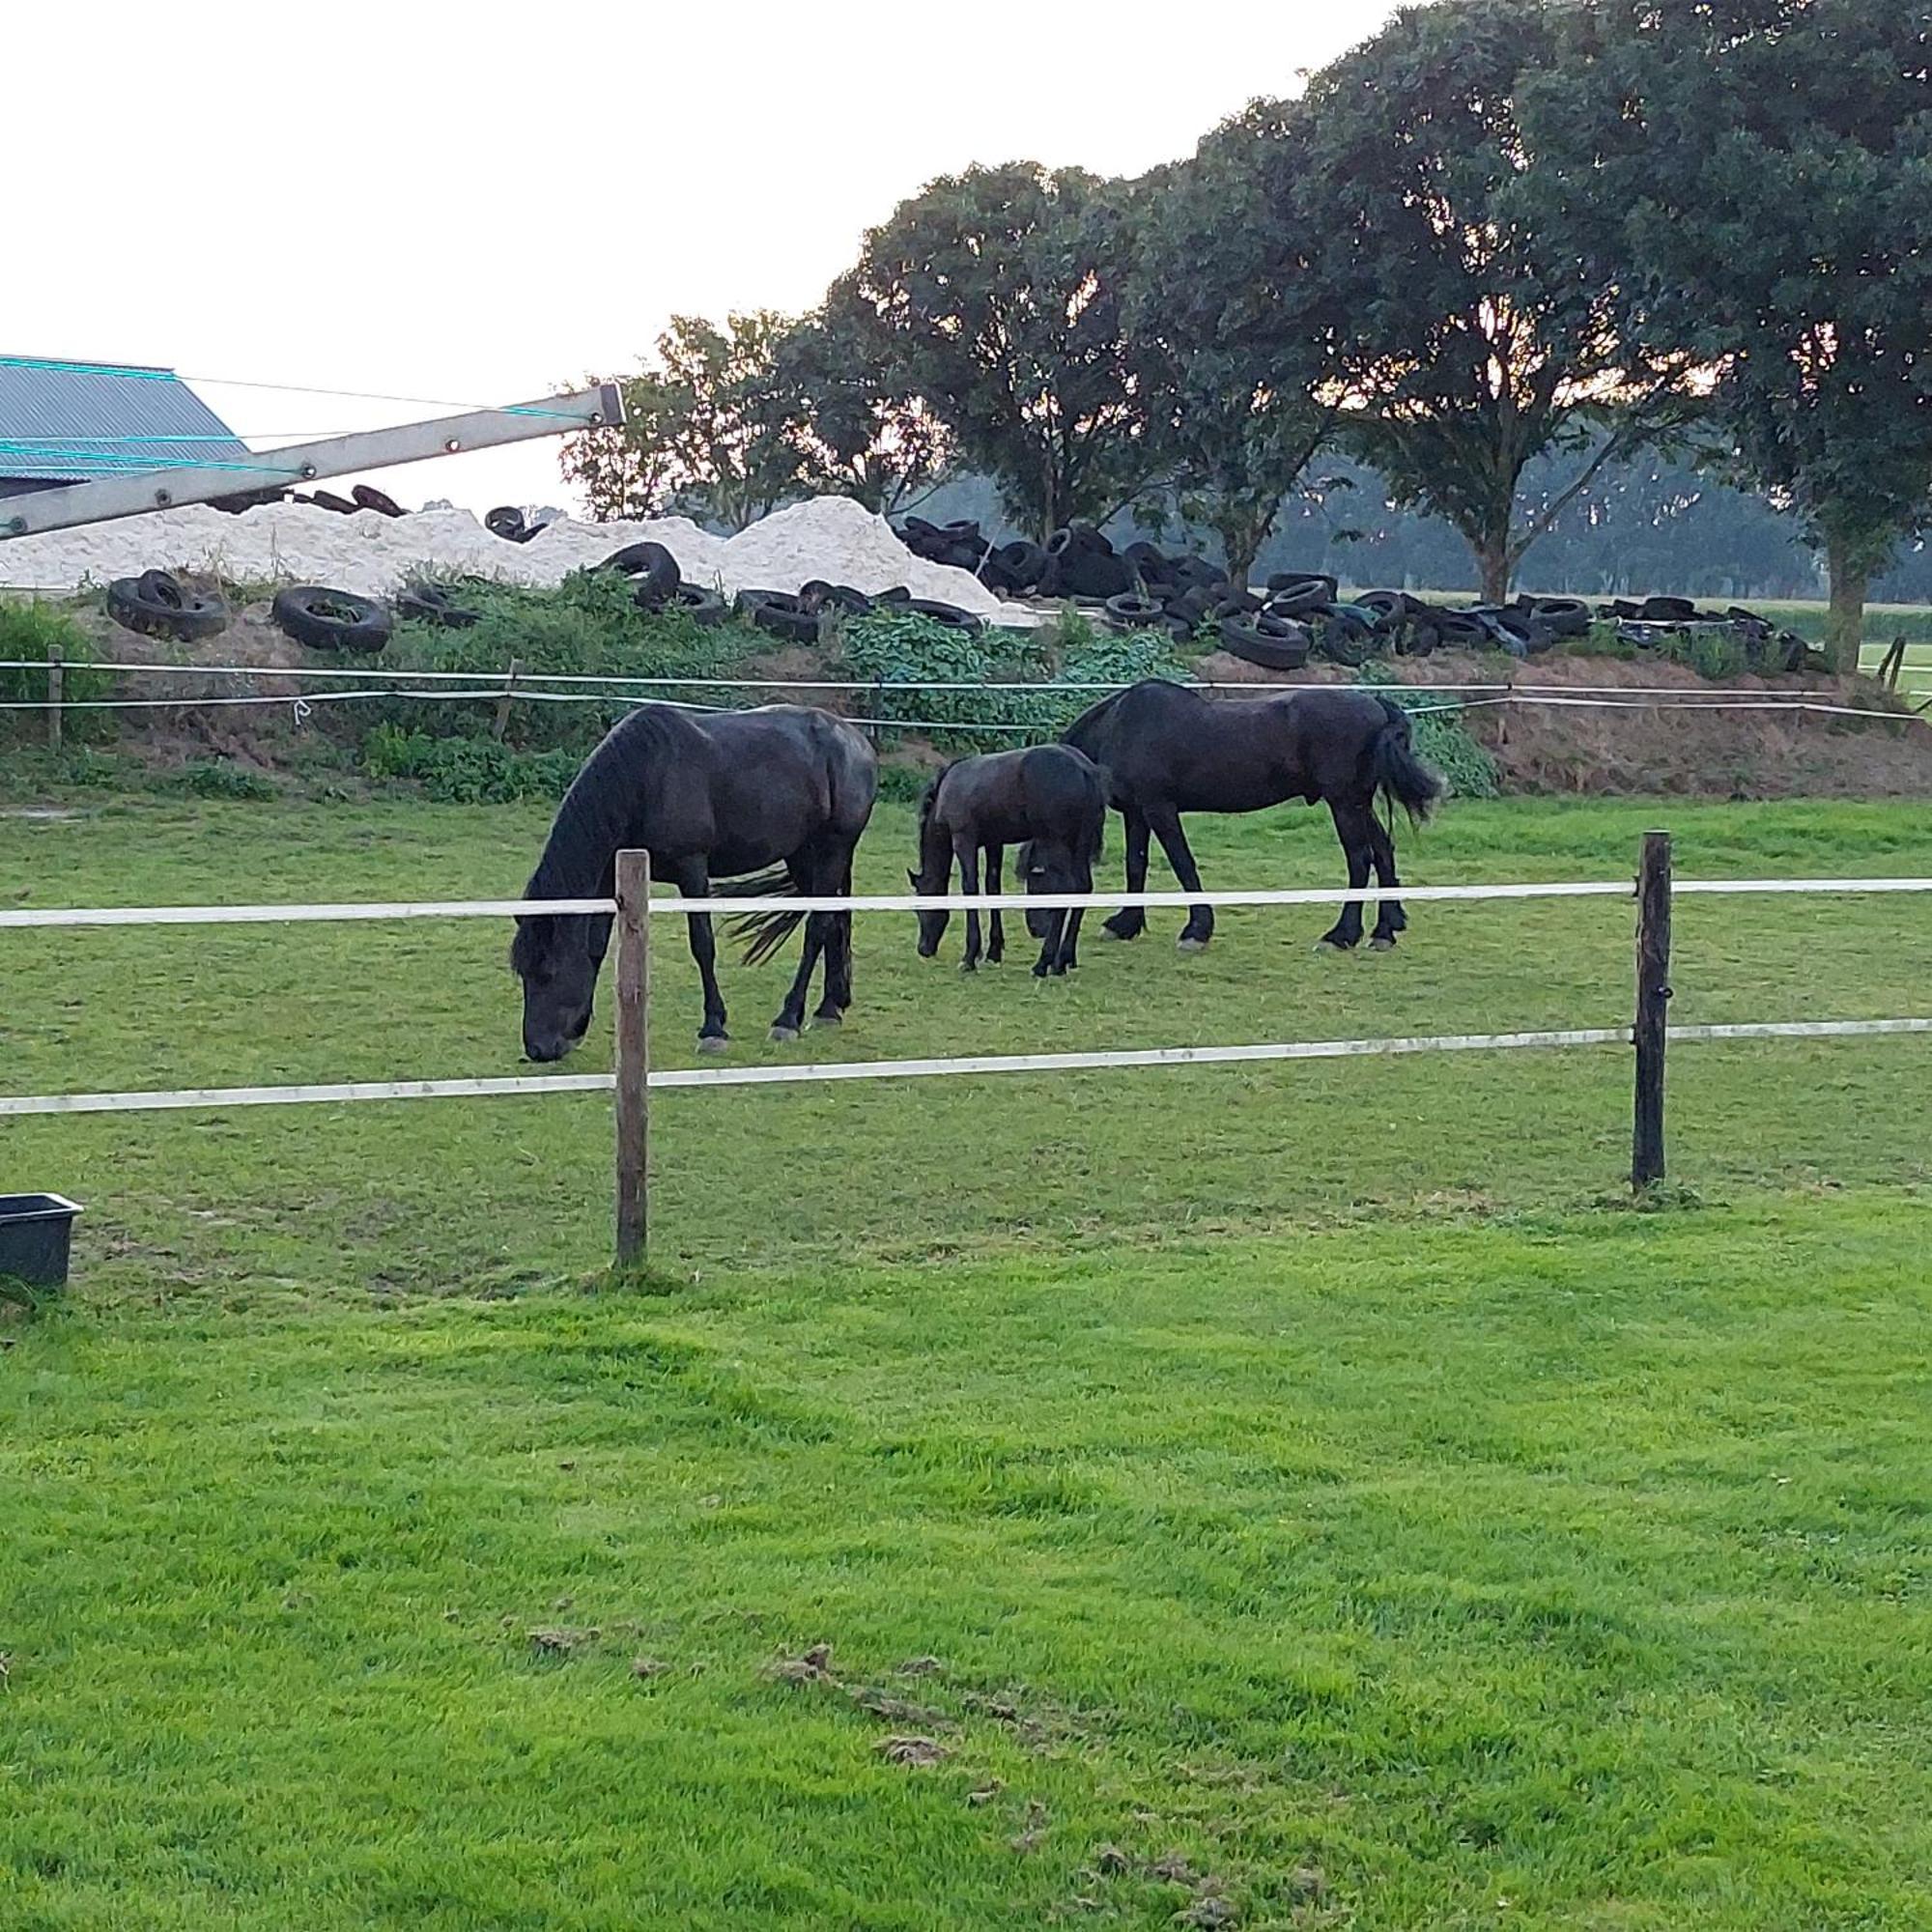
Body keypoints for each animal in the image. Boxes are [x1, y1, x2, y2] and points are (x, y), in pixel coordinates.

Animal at [514, 703, 877, 1059]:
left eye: (548, 972)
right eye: (523, 972)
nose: (538, 1049)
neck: (646, 777)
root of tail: (857, 742)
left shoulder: (692, 869)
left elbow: (702, 944)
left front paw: (713, 1028)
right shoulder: (611, 874)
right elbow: (596, 946)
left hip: (833, 848)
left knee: (818, 927)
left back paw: (788, 1019)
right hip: (803, 855)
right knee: (833, 922)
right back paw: (829, 1008)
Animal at [916, 746, 1113, 974]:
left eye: (919, 909)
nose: (923, 949)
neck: (949, 787)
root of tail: (1085, 769)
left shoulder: (963, 840)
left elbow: (970, 888)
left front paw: (970, 957)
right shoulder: (994, 843)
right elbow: (993, 887)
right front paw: (993, 952)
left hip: (1056, 842)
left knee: (1067, 889)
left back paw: (1043, 963)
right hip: (1079, 846)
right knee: (1083, 887)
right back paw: (1063, 960)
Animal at [1066, 680, 1445, 951]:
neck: (1120, 727)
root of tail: (1377, 706)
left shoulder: (1159, 809)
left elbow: (1183, 864)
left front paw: (1197, 930)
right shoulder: (1137, 813)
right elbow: (1136, 866)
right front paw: (1124, 924)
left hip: (1344, 803)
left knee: (1360, 859)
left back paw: (1340, 936)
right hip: (1357, 804)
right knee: (1383, 850)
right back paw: (1385, 930)